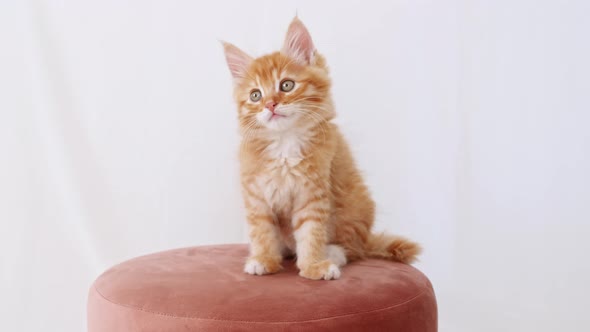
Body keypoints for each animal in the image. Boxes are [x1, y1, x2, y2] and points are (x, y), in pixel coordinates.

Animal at [222, 16, 420, 278]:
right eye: (255, 95)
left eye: (286, 85)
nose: (270, 105)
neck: (285, 142)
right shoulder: (257, 194)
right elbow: (261, 230)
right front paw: (263, 259)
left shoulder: (313, 191)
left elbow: (311, 232)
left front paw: (313, 266)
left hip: (355, 207)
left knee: (353, 248)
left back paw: (333, 253)